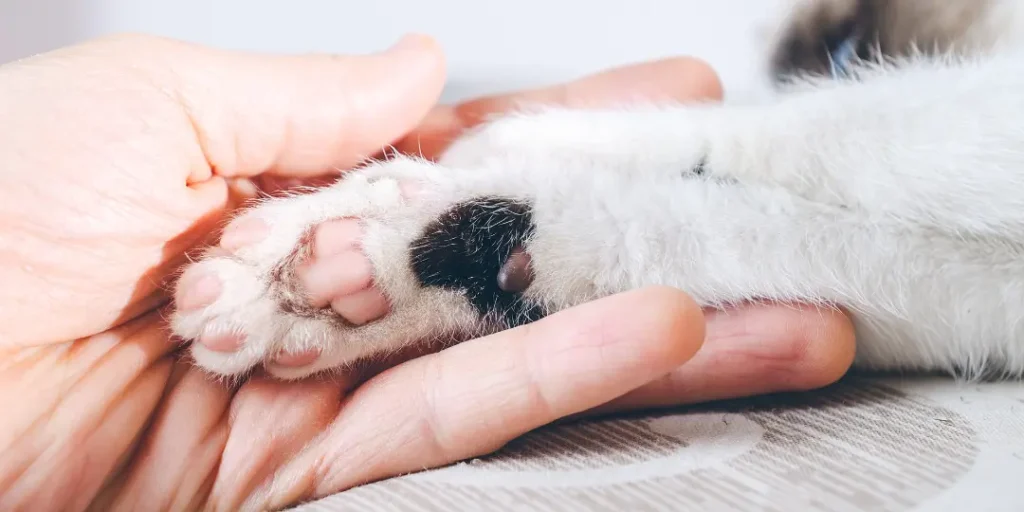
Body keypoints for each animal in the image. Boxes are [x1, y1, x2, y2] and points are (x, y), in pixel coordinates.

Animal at [169, 0, 1024, 380]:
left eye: (847, 54)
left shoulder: (980, 117)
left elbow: (808, 134)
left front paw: (345, 266)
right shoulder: (983, 302)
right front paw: (345, 276)